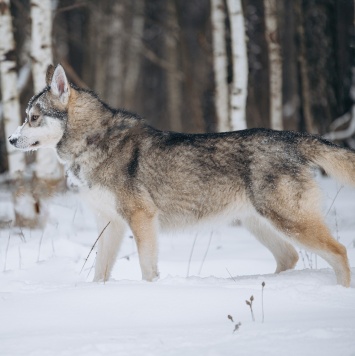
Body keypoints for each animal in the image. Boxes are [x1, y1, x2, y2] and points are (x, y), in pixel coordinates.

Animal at [9, 64, 355, 286]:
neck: (91, 144)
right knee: (290, 257)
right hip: (260, 224)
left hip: (289, 222)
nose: (11, 140)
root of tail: (292, 137)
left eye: (33, 118)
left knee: (339, 252)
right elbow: (100, 273)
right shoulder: (110, 225)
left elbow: (148, 270)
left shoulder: (142, 219)